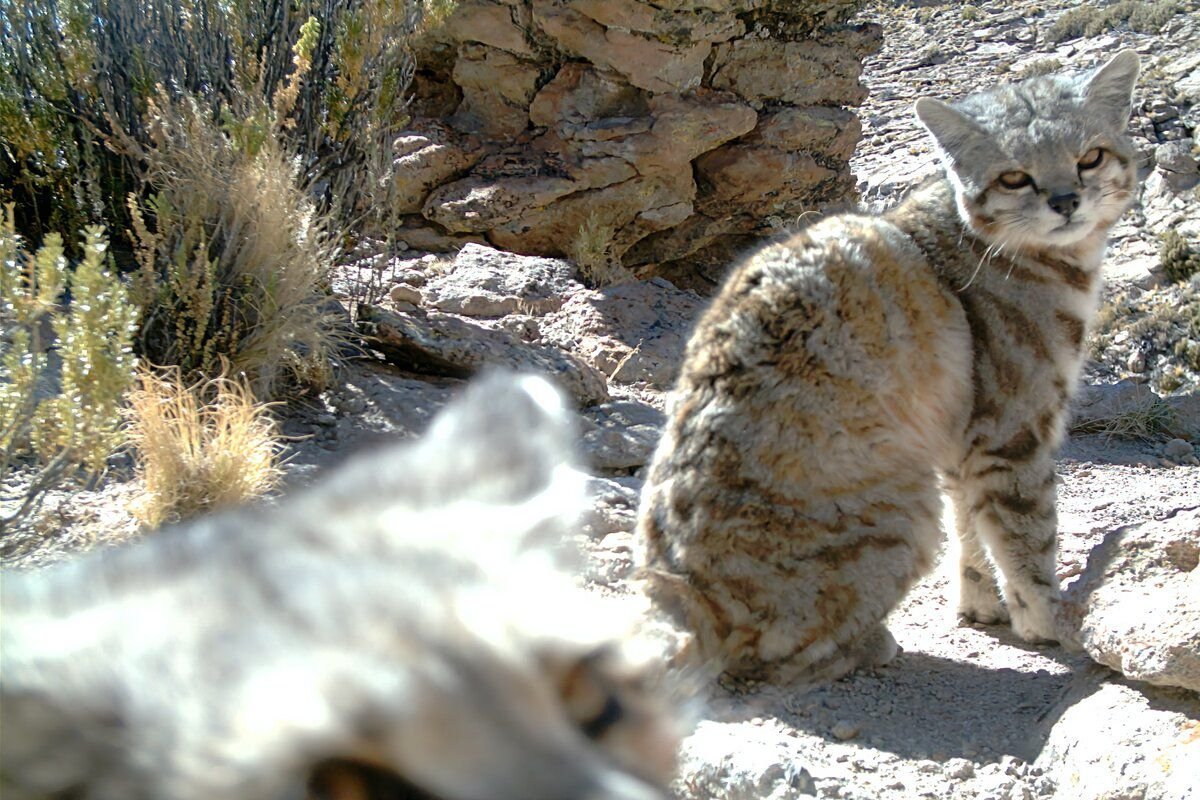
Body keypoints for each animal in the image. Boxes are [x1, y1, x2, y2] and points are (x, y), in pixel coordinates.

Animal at [633, 53, 1137, 686]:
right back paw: (870, 644)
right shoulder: (1013, 434)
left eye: (1090, 156)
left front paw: (981, 606)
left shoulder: (962, 439)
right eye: (1014, 177)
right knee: (770, 657)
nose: (1067, 199)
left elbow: (974, 530)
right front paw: (1050, 622)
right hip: (906, 511)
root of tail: (677, 595)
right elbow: (1027, 537)